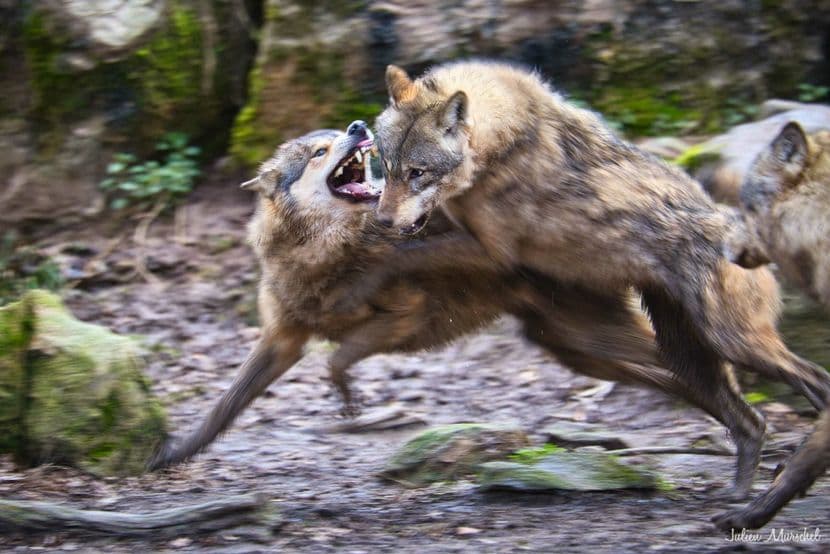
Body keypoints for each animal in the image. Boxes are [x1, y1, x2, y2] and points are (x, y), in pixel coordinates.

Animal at [151, 122, 725, 470]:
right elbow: (224, 406)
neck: (322, 253)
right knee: (677, 377)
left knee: (699, 368)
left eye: (336, 136)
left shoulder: (403, 315)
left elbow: (335, 362)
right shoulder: (281, 340)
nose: (358, 128)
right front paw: (172, 454)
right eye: (319, 151)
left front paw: (354, 405)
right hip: (579, 350)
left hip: (592, 345)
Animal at [365, 61, 830, 509]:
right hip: (683, 359)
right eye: (386, 168)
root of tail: (746, 236)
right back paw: (739, 492)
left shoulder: (491, 251)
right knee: (752, 422)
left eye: (417, 172)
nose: (384, 219)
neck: (496, 144)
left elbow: (401, 253)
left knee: (815, 380)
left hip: (735, 345)